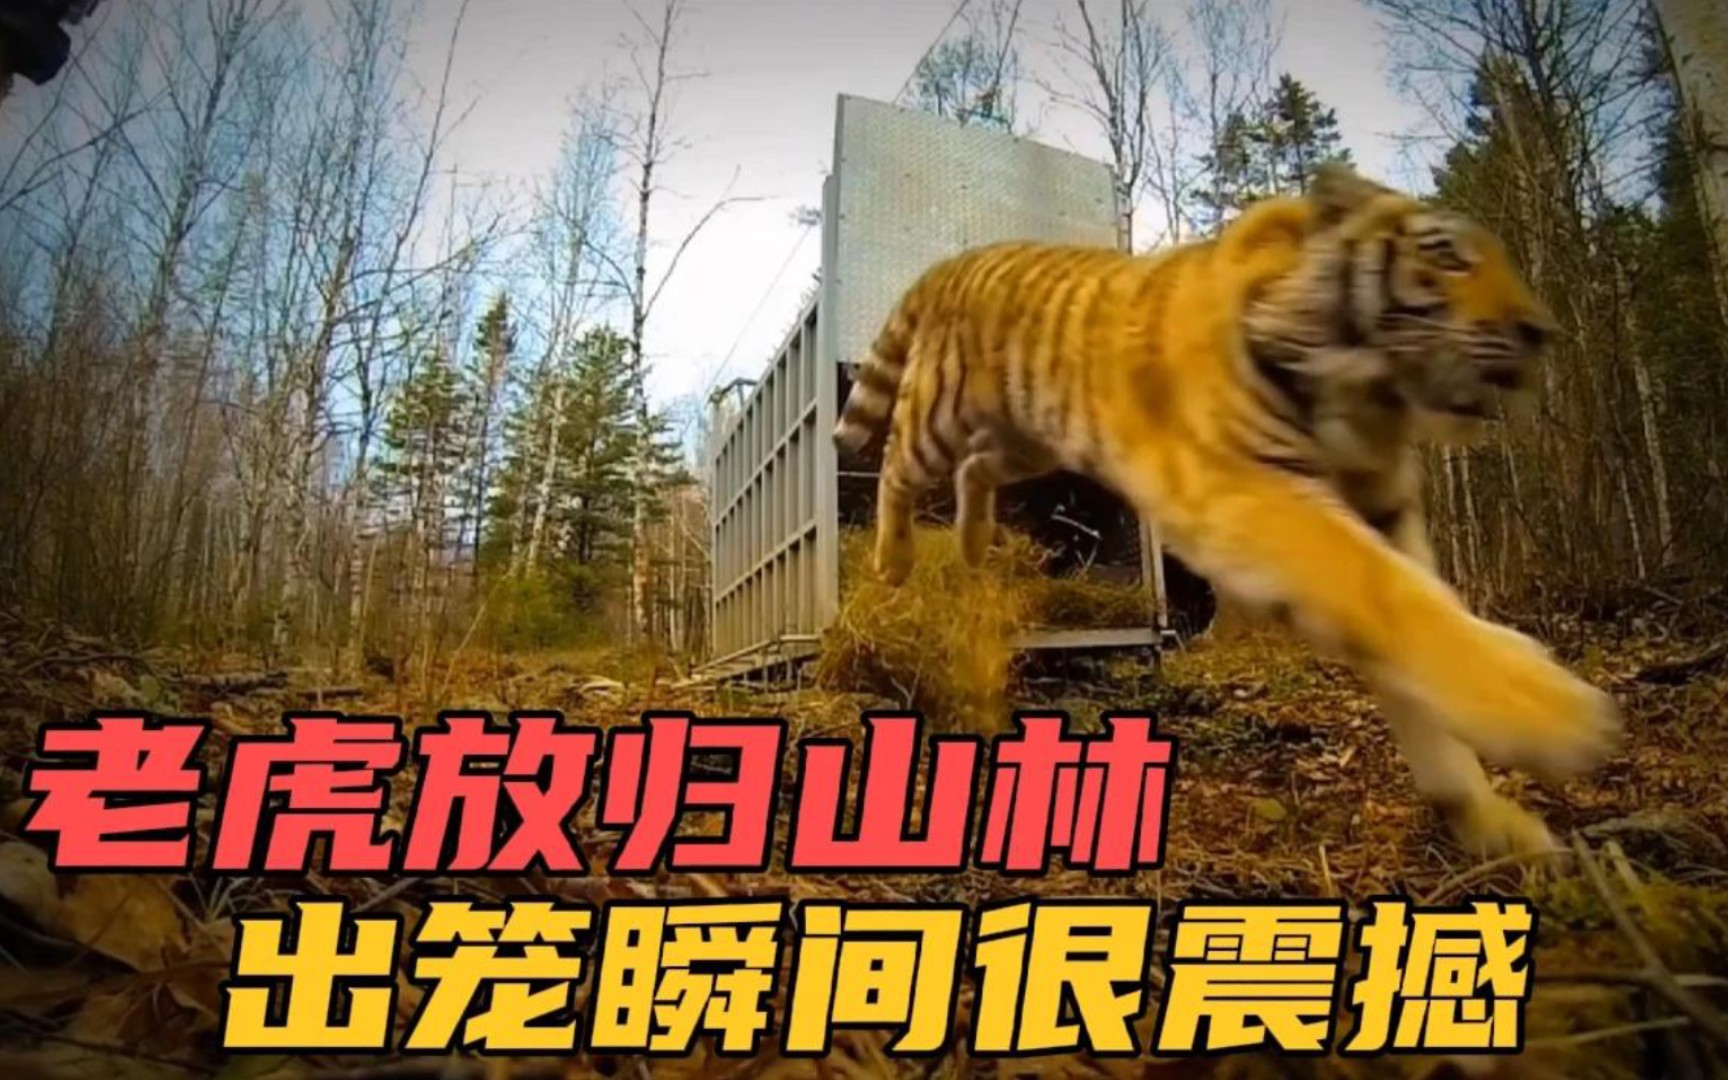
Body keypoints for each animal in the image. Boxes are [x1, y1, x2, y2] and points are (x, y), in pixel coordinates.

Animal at [831, 162, 1621, 859]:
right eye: (1447, 255)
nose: (1541, 331)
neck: (1366, 396)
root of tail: (956, 256)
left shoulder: (1387, 510)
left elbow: (1417, 654)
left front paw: (1489, 822)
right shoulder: (1244, 490)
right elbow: (1391, 595)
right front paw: (1548, 710)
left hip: (1028, 439)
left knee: (974, 471)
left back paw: (975, 545)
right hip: (942, 414)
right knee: (895, 462)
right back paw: (893, 561)